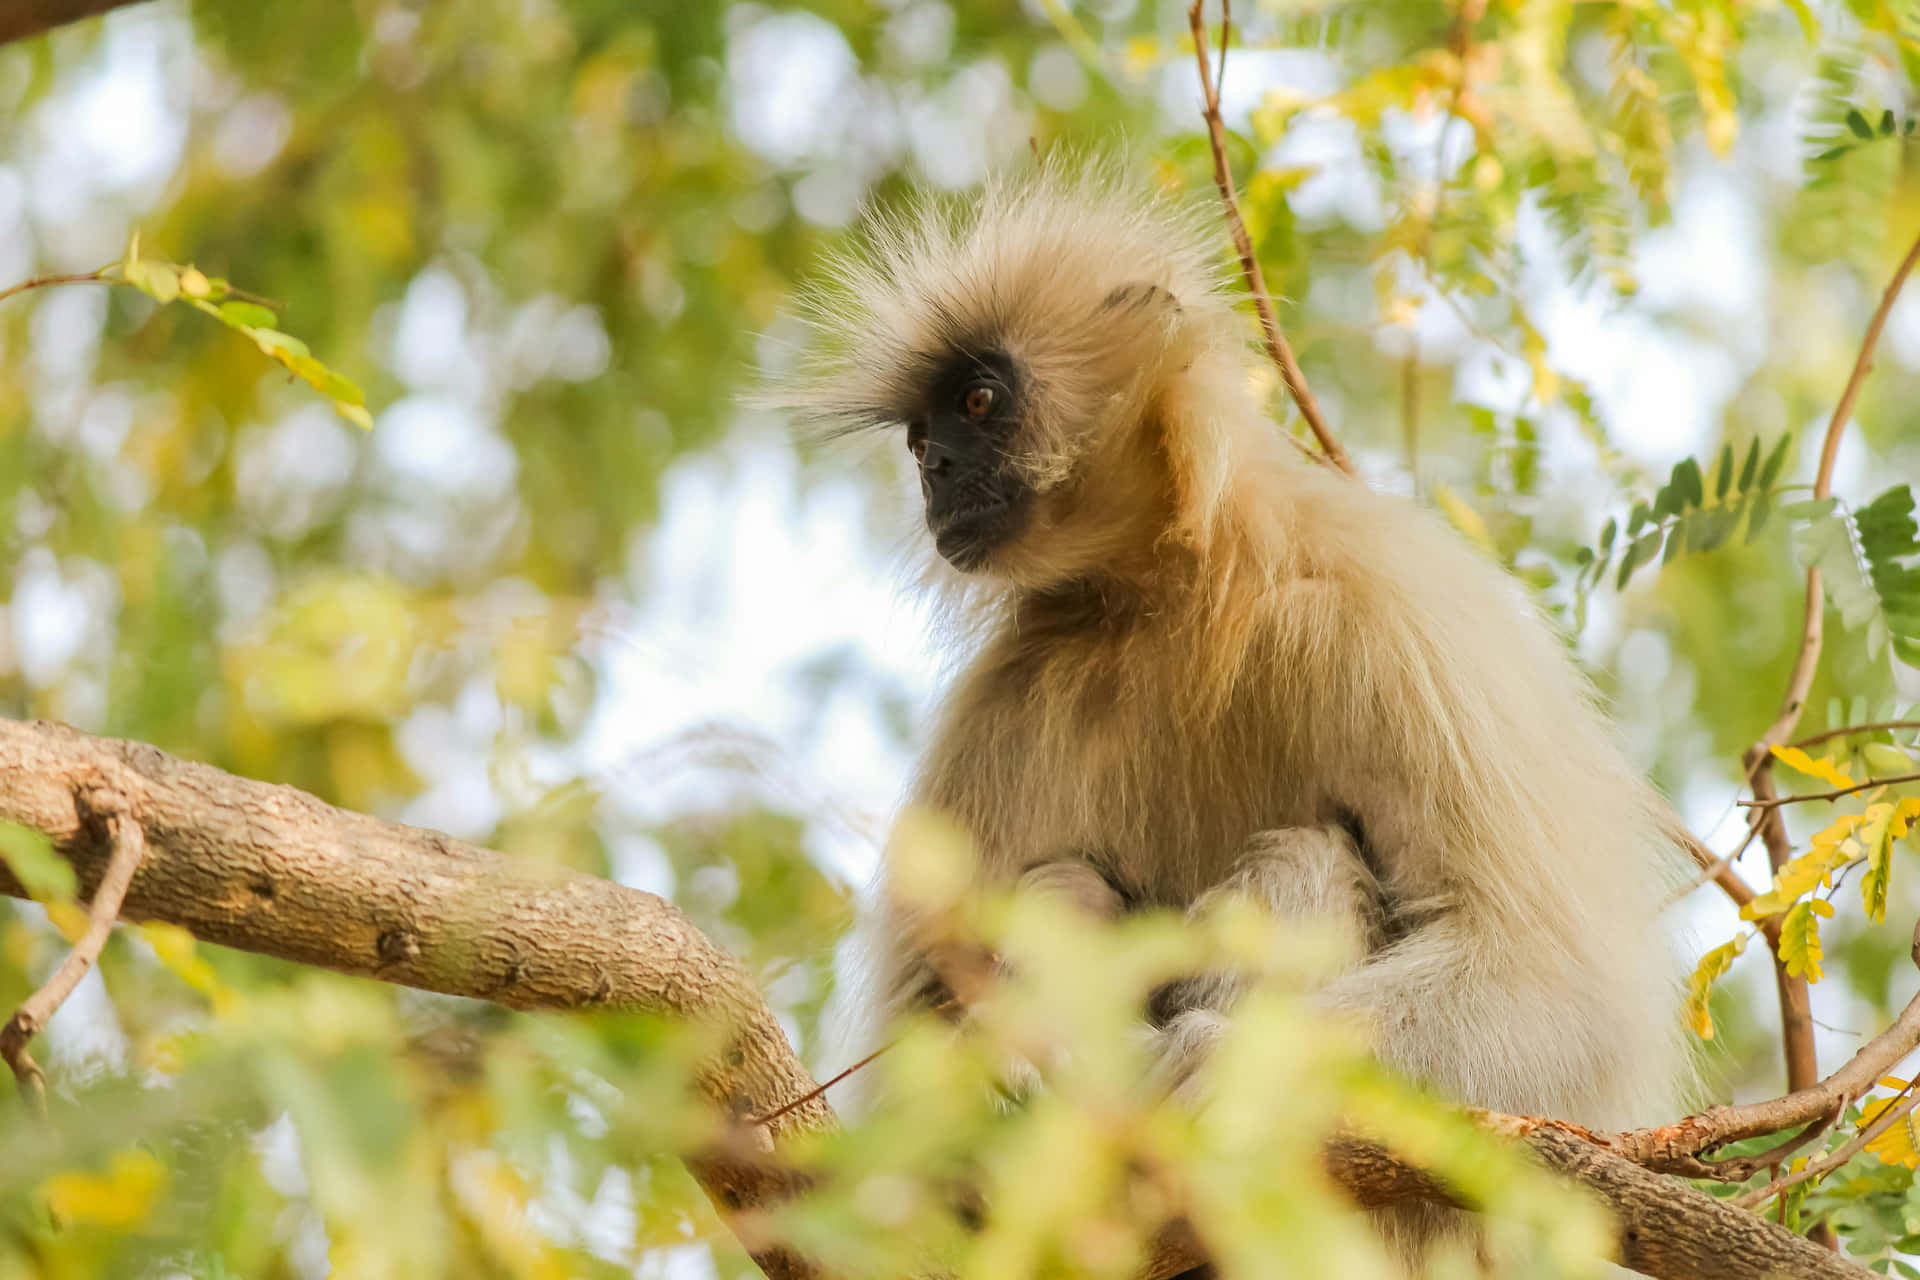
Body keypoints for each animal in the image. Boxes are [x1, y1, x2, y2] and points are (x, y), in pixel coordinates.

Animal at [775, 167, 1681, 1143]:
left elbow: (1558, 997)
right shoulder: (1004, 697)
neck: (1172, 592)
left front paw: (1216, 1063)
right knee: (1066, 889)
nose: (934, 467)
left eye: (978, 403)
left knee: (1305, 858)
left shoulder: (1397, 614)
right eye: (917, 437)